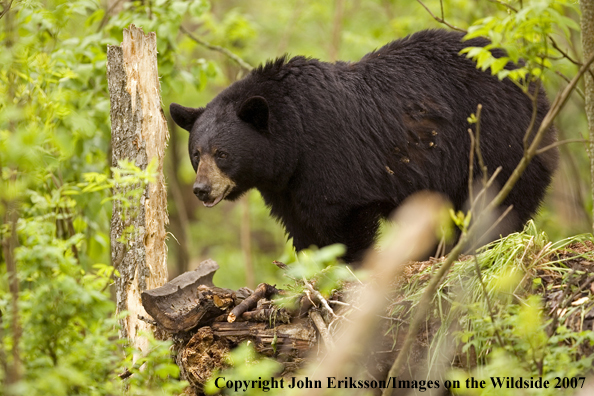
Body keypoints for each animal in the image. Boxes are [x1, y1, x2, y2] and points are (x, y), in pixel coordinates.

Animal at [170, 28, 556, 262]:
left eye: (222, 153)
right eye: (196, 154)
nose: (202, 189)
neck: (292, 138)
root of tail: (531, 79)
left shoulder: (331, 157)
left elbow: (342, 222)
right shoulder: (287, 186)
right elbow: (302, 227)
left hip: (497, 140)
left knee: (502, 200)